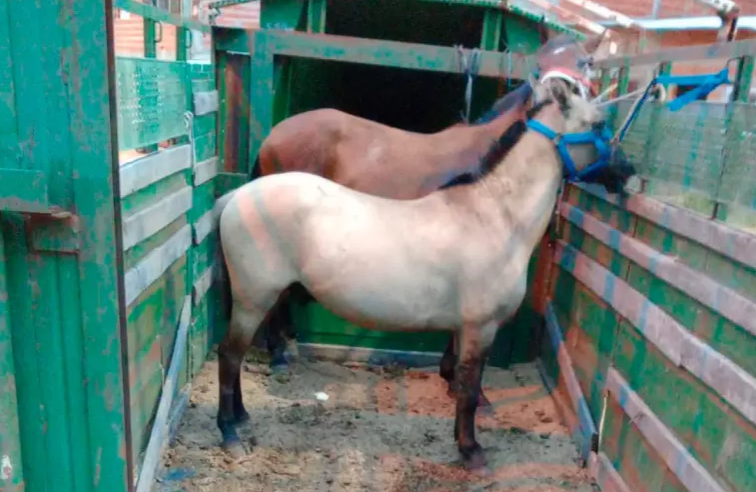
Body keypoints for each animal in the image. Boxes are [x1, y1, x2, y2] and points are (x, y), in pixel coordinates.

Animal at [213, 76, 637, 473]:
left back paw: (243, 417)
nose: (629, 172)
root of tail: (236, 197)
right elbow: (469, 390)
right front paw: (471, 452)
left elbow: (461, 382)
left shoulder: (463, 328)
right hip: (254, 299)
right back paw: (230, 432)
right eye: (599, 124)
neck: (495, 217)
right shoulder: (480, 328)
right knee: (230, 354)